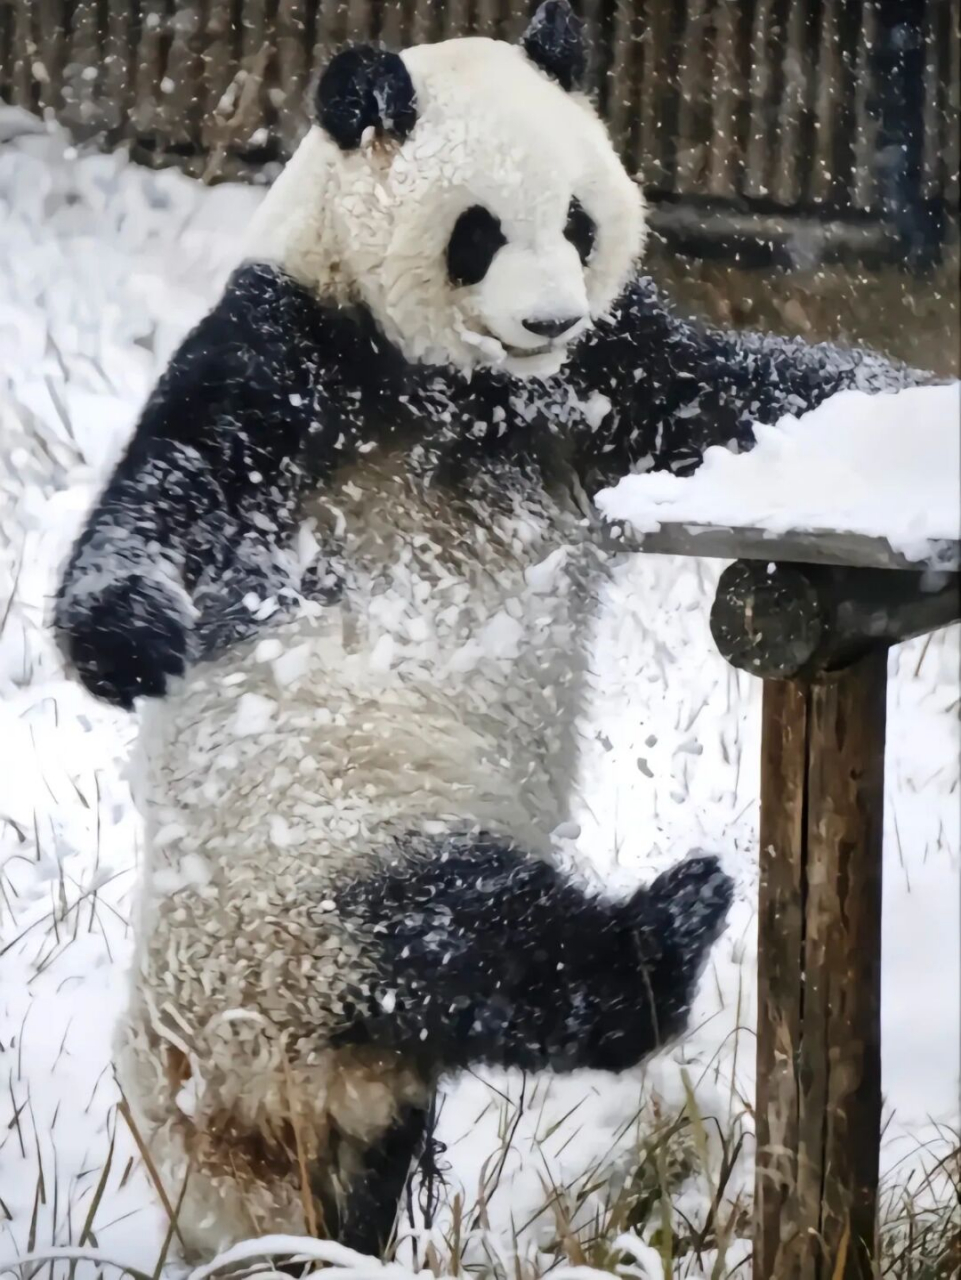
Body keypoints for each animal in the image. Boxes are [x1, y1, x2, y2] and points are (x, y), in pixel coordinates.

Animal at [54, 0, 926, 1259]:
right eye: (477, 232)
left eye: (577, 220)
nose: (547, 315)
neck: (465, 383)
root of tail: (251, 1122)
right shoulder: (294, 348)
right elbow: (175, 475)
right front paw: (131, 639)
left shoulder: (606, 373)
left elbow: (740, 391)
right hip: (311, 877)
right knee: (484, 944)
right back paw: (673, 919)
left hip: (337, 1030)